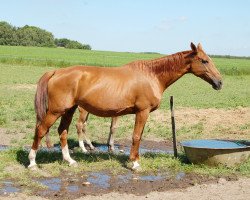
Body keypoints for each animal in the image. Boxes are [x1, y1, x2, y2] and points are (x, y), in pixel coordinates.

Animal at [28, 42, 223, 170]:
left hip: (69, 110)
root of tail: (56, 71)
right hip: (56, 111)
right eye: (204, 61)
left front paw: (135, 158)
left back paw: (69, 160)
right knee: (41, 129)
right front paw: (134, 163)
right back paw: (32, 162)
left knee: (63, 131)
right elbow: (136, 136)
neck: (151, 75)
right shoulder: (142, 112)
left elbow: (139, 136)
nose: (219, 82)